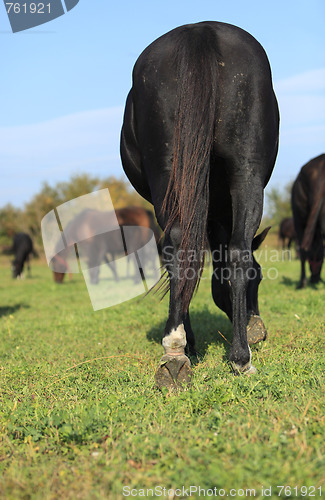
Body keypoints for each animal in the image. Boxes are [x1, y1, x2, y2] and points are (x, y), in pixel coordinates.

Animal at [120, 20, 278, 390]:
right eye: (259, 279)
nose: (258, 331)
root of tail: (200, 31)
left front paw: (185, 343)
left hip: (177, 175)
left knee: (185, 250)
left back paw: (180, 353)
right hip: (245, 173)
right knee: (235, 251)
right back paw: (238, 357)